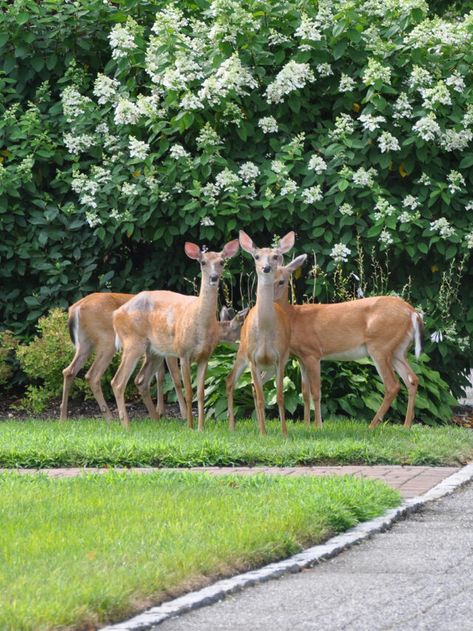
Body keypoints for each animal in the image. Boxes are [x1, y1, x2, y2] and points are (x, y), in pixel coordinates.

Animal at [60, 294, 243, 422]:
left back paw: (64, 417)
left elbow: (159, 377)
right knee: (93, 375)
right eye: (238, 332)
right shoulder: (171, 351)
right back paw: (111, 418)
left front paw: (160, 412)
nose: (242, 347)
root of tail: (74, 309)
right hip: (107, 341)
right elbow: (175, 379)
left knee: (69, 371)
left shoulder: (157, 352)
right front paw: (183, 414)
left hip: (85, 344)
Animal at [110, 241, 240, 430]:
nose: (214, 277)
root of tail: (115, 314)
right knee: (118, 382)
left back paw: (156, 420)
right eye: (203, 262)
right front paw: (190, 427)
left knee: (141, 380)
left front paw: (201, 428)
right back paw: (126, 425)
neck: (201, 324)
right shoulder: (183, 352)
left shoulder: (205, 356)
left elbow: (201, 393)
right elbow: (188, 390)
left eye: (222, 262)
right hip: (133, 342)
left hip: (154, 351)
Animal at [223, 231, 294, 434]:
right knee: (230, 381)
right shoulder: (253, 358)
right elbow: (262, 398)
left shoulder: (281, 358)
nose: (266, 268)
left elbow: (279, 397)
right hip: (242, 352)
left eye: (275, 256)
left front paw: (284, 433)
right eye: (256, 256)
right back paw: (232, 426)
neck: (264, 332)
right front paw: (263, 434)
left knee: (256, 386)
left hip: (269, 366)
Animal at [272, 256, 422, 430]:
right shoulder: (300, 358)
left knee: (392, 385)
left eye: (281, 281)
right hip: (397, 350)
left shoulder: (313, 353)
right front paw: (307, 426)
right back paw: (406, 426)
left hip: (380, 346)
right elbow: (305, 393)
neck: (293, 318)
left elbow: (316, 392)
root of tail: (412, 312)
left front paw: (318, 427)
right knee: (412, 379)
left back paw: (372, 426)